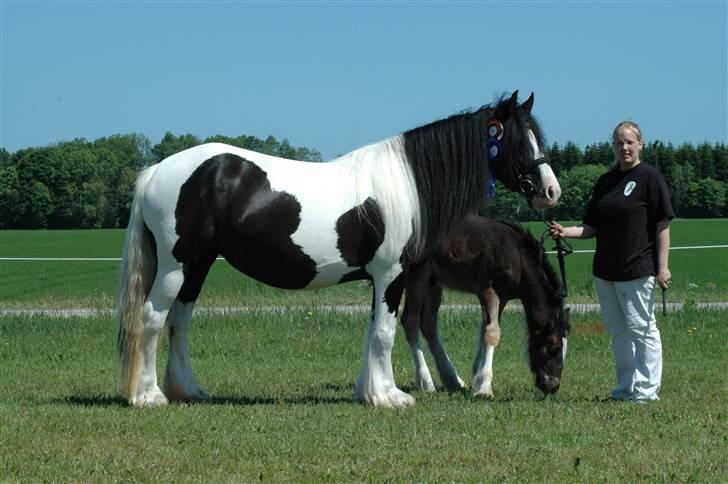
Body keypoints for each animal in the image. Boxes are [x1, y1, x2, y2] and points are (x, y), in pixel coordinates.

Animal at [116, 91, 560, 408]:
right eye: (520, 141)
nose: (551, 191)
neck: (406, 183)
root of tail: (156, 170)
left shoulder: (382, 278)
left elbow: (374, 330)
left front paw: (370, 391)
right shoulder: (391, 274)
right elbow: (384, 332)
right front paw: (391, 397)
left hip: (198, 264)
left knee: (180, 321)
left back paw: (189, 390)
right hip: (176, 266)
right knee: (153, 318)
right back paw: (149, 396)